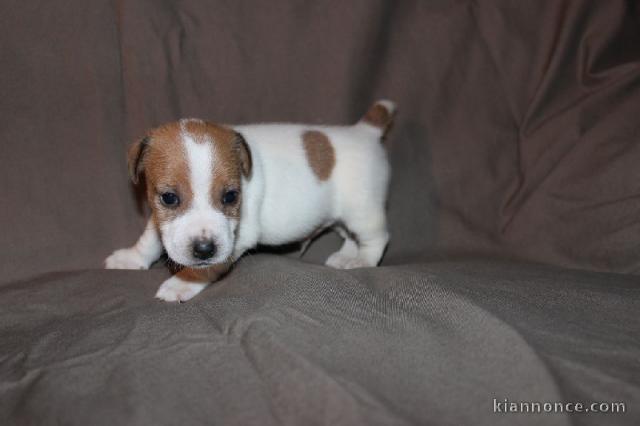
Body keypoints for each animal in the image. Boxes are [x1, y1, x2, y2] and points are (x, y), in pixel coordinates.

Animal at [105, 100, 396, 302]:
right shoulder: (159, 220)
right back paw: (347, 256)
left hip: (363, 212)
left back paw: (361, 260)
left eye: (230, 196)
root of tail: (364, 132)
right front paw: (132, 257)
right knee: (350, 236)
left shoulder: (237, 237)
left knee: (376, 238)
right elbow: (150, 239)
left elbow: (205, 268)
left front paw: (183, 282)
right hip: (344, 217)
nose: (204, 249)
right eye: (169, 198)